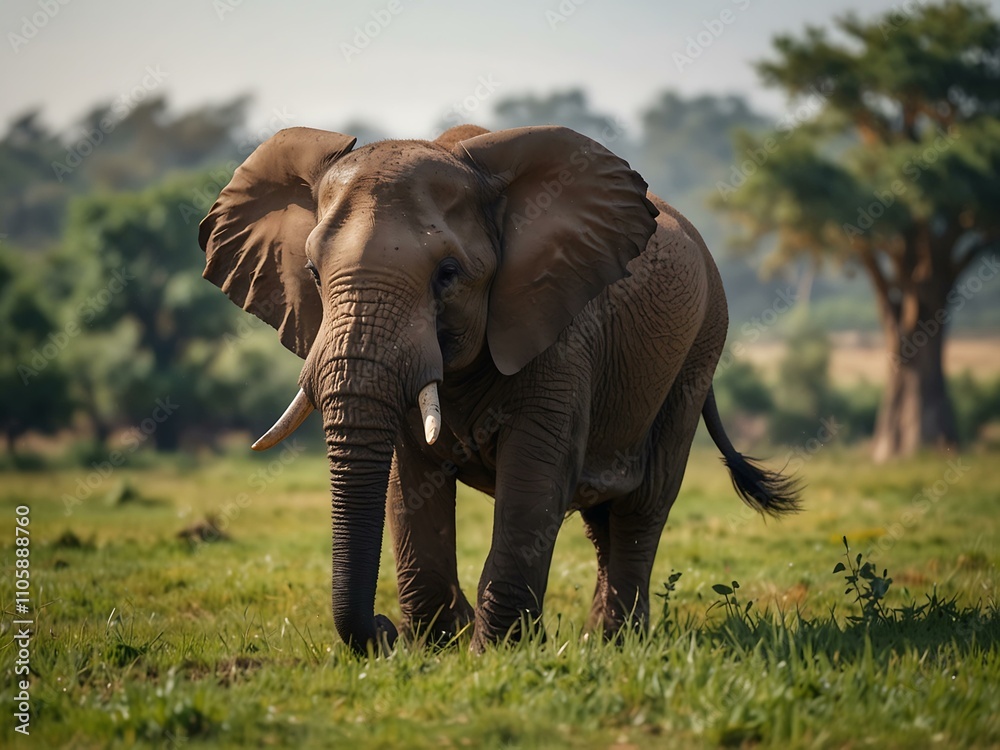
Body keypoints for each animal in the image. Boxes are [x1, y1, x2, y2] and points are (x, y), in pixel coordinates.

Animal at [199, 123, 799, 655]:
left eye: (447, 273)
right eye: (313, 273)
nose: (382, 632)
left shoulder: (559, 331)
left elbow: (534, 476)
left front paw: (495, 652)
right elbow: (408, 478)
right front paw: (439, 646)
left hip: (699, 348)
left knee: (644, 502)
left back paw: (616, 642)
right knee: (603, 515)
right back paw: (596, 639)